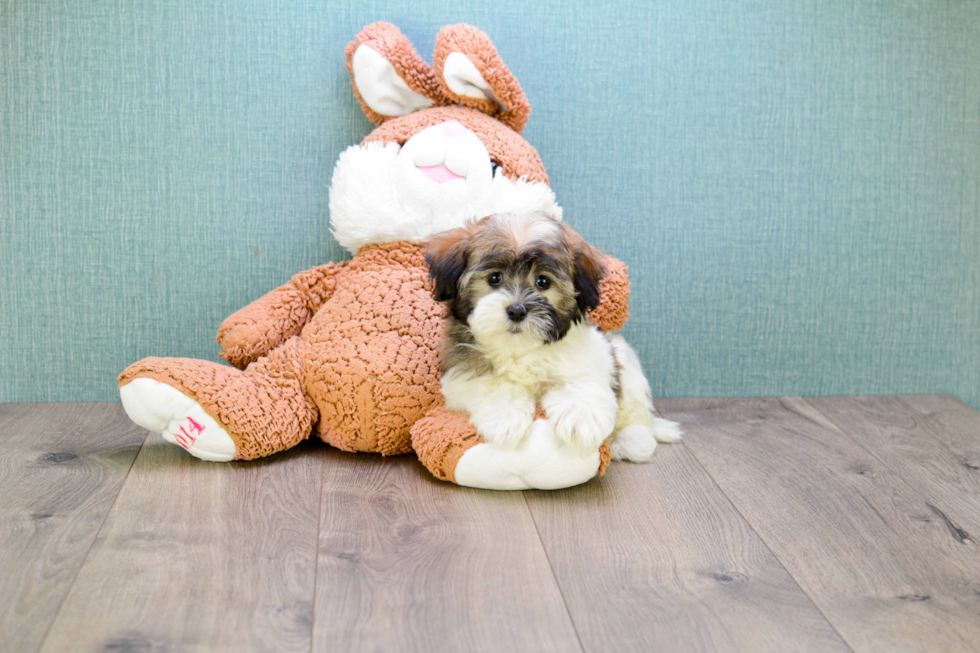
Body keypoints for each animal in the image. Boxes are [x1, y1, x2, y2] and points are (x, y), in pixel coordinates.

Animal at [428, 213, 680, 458]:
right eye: (494, 278)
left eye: (543, 281)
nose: (517, 310)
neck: (520, 349)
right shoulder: (460, 373)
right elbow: (491, 384)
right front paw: (505, 418)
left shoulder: (594, 357)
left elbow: (582, 381)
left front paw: (580, 419)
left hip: (626, 363)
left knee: (636, 414)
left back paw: (631, 440)